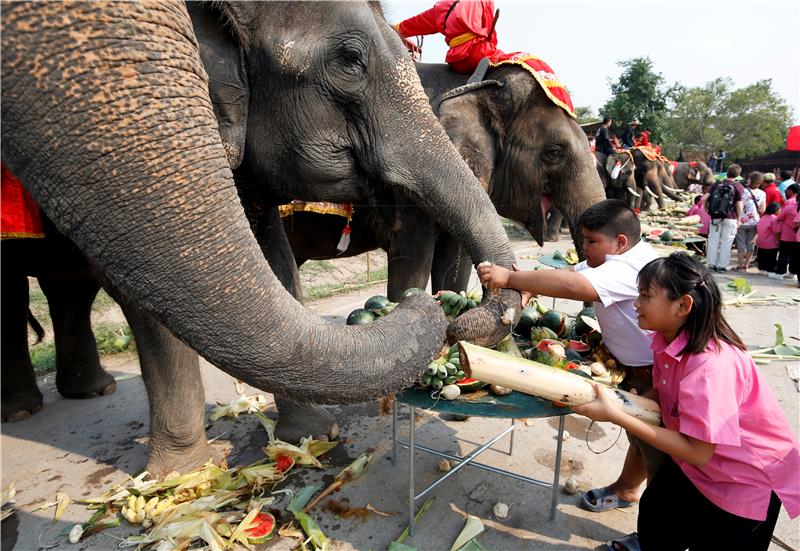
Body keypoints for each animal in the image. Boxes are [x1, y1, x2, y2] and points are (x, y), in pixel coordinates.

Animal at [1, 0, 520, 476]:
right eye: (349, 61)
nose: (444, 313)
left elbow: (273, 256)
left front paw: (312, 437)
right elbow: (141, 281)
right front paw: (185, 476)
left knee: (67, 289)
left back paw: (87, 391)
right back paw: (30, 409)